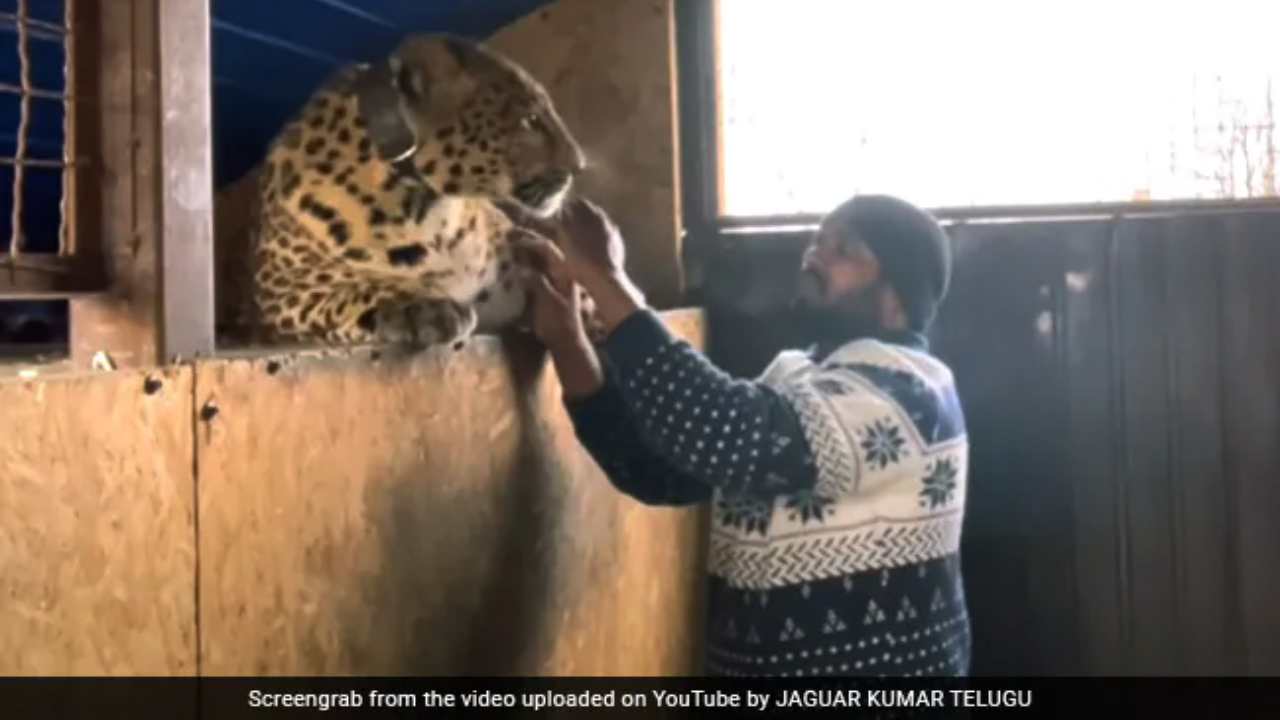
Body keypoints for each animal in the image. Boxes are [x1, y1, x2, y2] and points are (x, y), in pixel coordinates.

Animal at [215, 33, 604, 351]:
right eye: (530, 121)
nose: (580, 166)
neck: (430, 210)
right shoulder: (285, 290)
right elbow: (353, 289)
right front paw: (421, 307)